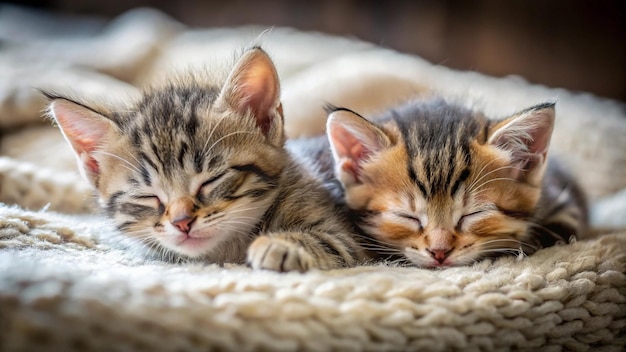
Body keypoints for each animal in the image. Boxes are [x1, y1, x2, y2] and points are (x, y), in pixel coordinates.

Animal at [45, 47, 360, 272]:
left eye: (211, 180)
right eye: (147, 196)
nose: (182, 223)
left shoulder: (349, 237)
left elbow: (333, 242)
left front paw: (282, 245)